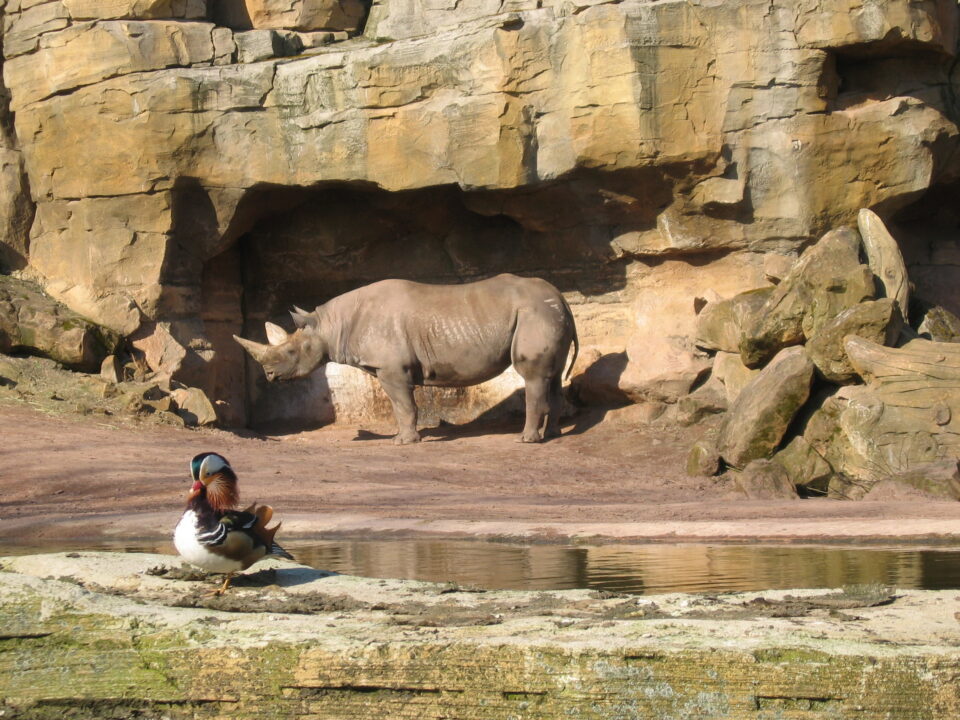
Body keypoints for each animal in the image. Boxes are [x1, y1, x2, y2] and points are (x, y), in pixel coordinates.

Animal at [234, 274, 578, 444]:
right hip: (546, 313)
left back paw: (526, 440)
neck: (330, 325)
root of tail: (561, 297)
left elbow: (403, 405)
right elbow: (402, 406)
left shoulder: (391, 368)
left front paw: (404, 442)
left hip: (534, 313)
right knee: (553, 376)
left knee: (533, 376)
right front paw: (404, 438)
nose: (269, 376)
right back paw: (552, 435)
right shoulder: (388, 367)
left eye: (291, 353)